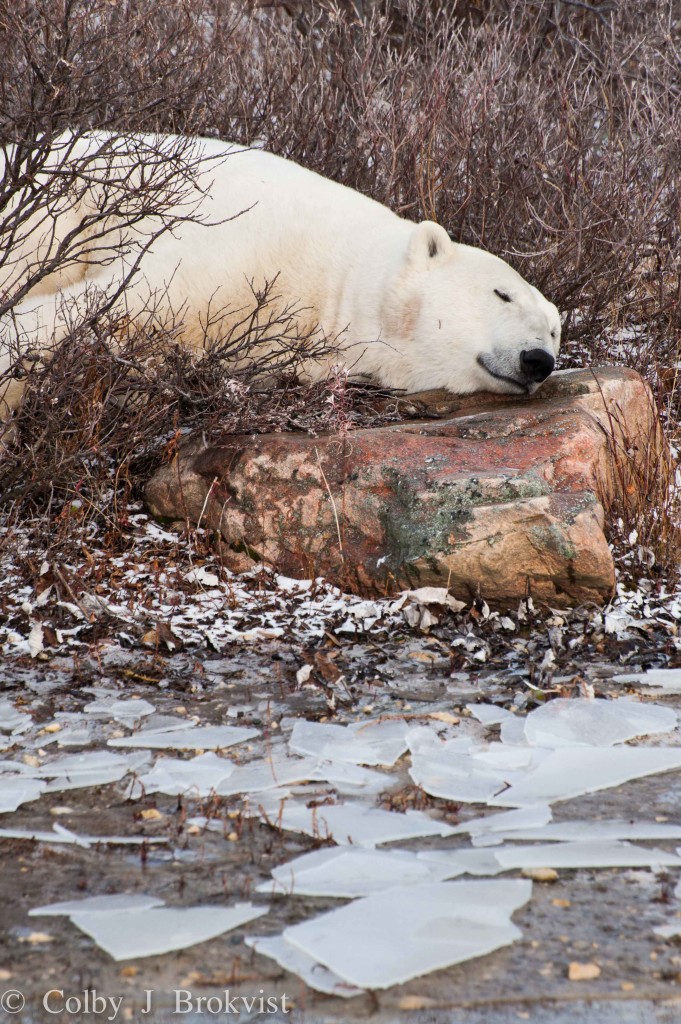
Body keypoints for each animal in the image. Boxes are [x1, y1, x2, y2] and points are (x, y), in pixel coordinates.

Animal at [0, 131, 561, 415]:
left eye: (555, 328)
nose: (539, 360)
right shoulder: (241, 256)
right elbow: (114, 303)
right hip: (62, 203)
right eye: (502, 294)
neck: (341, 282)